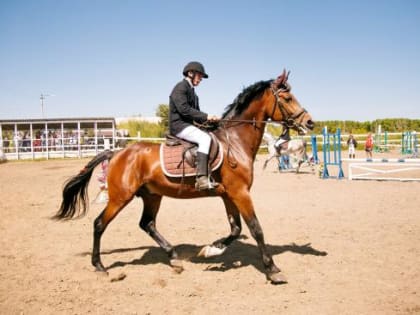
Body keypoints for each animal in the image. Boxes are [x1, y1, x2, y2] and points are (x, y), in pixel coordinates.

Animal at [54, 70, 314, 286]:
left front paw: (211, 250)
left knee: (147, 224)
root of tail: (117, 152)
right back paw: (99, 266)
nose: (309, 122)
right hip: (120, 197)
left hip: (152, 195)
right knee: (100, 224)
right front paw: (273, 270)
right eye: (288, 98)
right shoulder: (240, 193)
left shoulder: (229, 195)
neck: (235, 141)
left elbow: (236, 229)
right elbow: (256, 228)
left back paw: (174, 257)